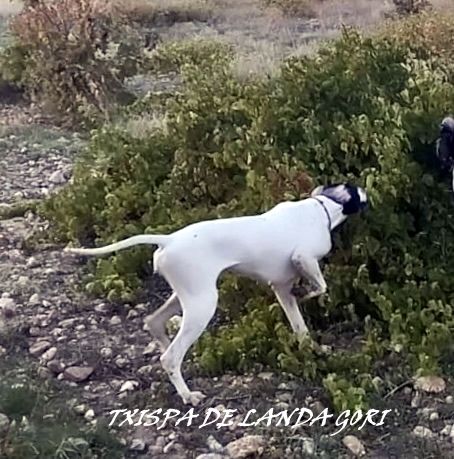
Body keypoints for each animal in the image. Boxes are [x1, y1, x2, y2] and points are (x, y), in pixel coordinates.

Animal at [65, 183, 368, 406]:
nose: (368, 196)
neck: (321, 207)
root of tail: (168, 239)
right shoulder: (304, 258)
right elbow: (320, 287)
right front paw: (307, 294)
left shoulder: (281, 288)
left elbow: (300, 328)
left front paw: (313, 350)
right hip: (203, 305)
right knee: (170, 357)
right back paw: (187, 395)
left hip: (187, 297)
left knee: (154, 322)